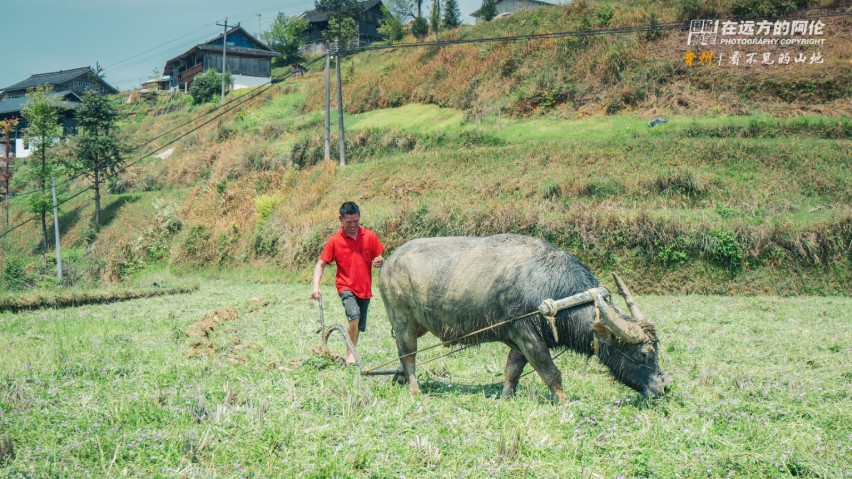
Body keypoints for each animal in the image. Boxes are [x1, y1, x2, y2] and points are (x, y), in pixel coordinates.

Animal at [376, 234, 668, 400]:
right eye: (645, 353)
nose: (664, 387)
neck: (552, 290)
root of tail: (388, 263)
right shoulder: (529, 337)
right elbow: (551, 372)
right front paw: (563, 400)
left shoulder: (520, 342)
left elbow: (512, 372)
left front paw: (506, 397)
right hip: (402, 321)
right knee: (409, 355)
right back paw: (414, 390)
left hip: (415, 325)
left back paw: (400, 378)